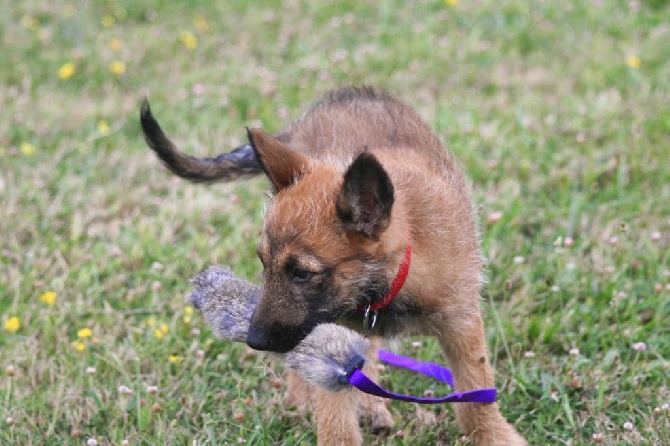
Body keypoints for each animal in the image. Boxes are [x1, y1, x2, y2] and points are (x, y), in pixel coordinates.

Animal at [142, 85, 528, 444]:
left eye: (301, 273)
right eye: (263, 263)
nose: (254, 340)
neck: (396, 276)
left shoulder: (461, 325)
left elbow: (476, 398)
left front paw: (493, 436)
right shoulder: (333, 341)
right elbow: (335, 413)